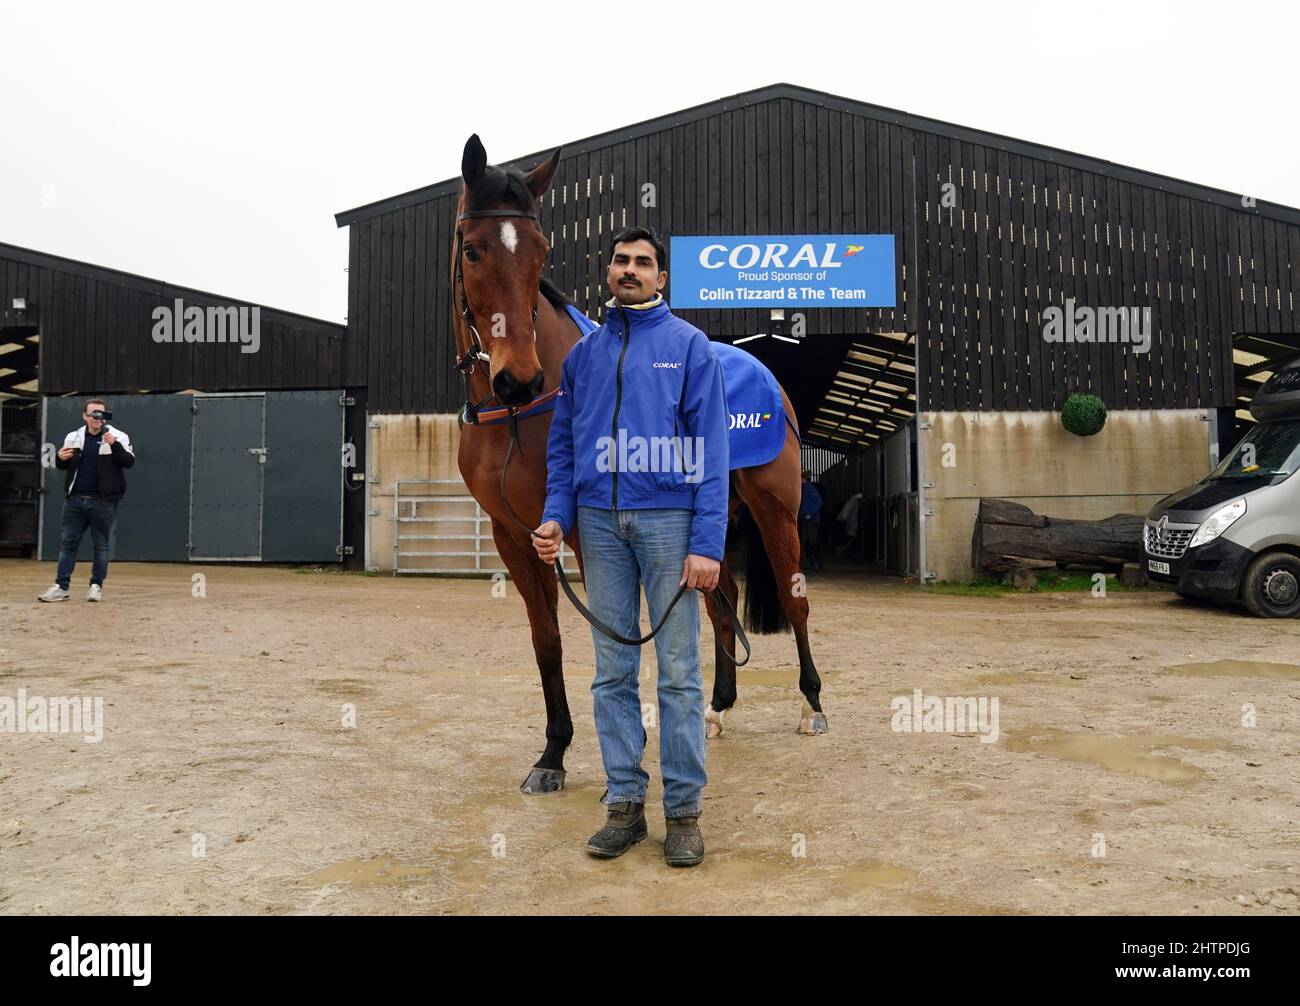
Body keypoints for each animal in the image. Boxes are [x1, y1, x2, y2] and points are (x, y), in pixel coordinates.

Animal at [452, 133, 826, 795]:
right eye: (473, 250)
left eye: (542, 252)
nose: (519, 379)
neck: (517, 418)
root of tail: (765, 374)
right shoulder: (514, 536)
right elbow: (547, 641)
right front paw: (553, 753)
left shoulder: (585, 532)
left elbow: (614, 636)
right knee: (720, 600)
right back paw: (717, 710)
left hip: (773, 508)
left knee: (793, 596)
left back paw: (810, 706)